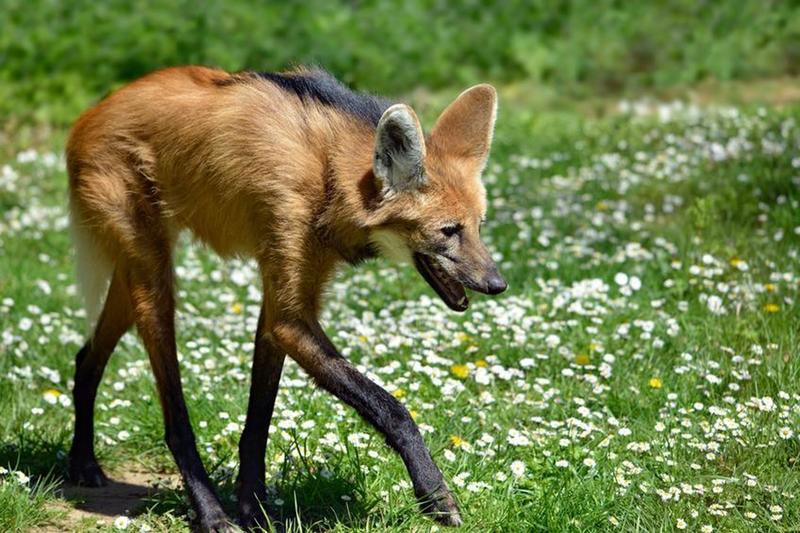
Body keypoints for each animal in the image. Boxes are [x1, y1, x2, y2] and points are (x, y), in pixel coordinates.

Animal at [69, 65, 506, 528]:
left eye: (478, 226)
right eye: (448, 231)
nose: (497, 283)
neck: (328, 175)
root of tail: (90, 114)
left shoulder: (283, 302)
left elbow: (259, 416)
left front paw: (254, 506)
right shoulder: (289, 306)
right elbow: (391, 408)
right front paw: (436, 495)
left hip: (136, 272)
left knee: (86, 357)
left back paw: (82, 462)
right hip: (154, 277)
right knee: (174, 416)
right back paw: (209, 513)